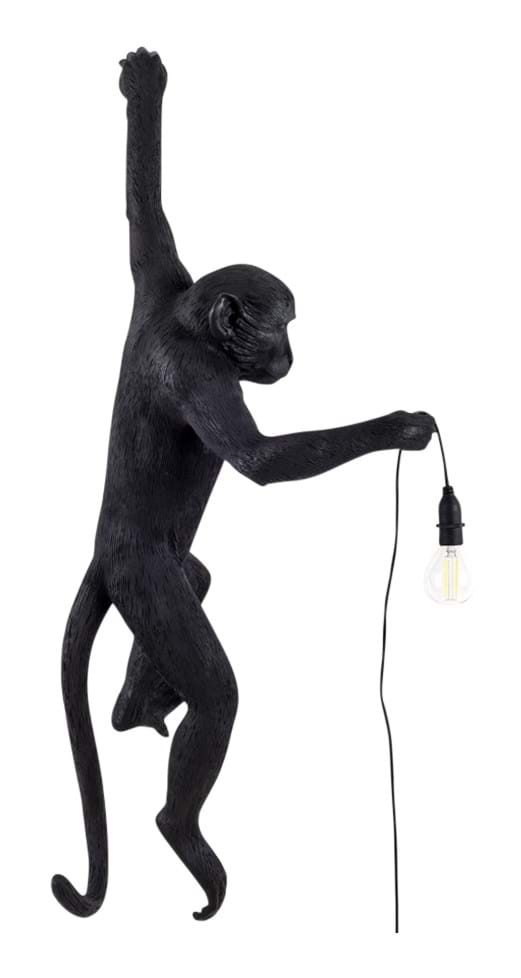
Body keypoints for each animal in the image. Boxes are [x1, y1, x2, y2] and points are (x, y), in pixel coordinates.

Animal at [51, 48, 434, 922]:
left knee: (197, 578)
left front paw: (143, 88)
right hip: (141, 575)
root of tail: (101, 556)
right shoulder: (201, 374)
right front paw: (398, 426)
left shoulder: (159, 276)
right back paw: (182, 831)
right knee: (214, 687)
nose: (291, 354)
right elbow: (261, 459)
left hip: (160, 572)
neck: (181, 322)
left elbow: (144, 210)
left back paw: (133, 708)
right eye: (281, 324)